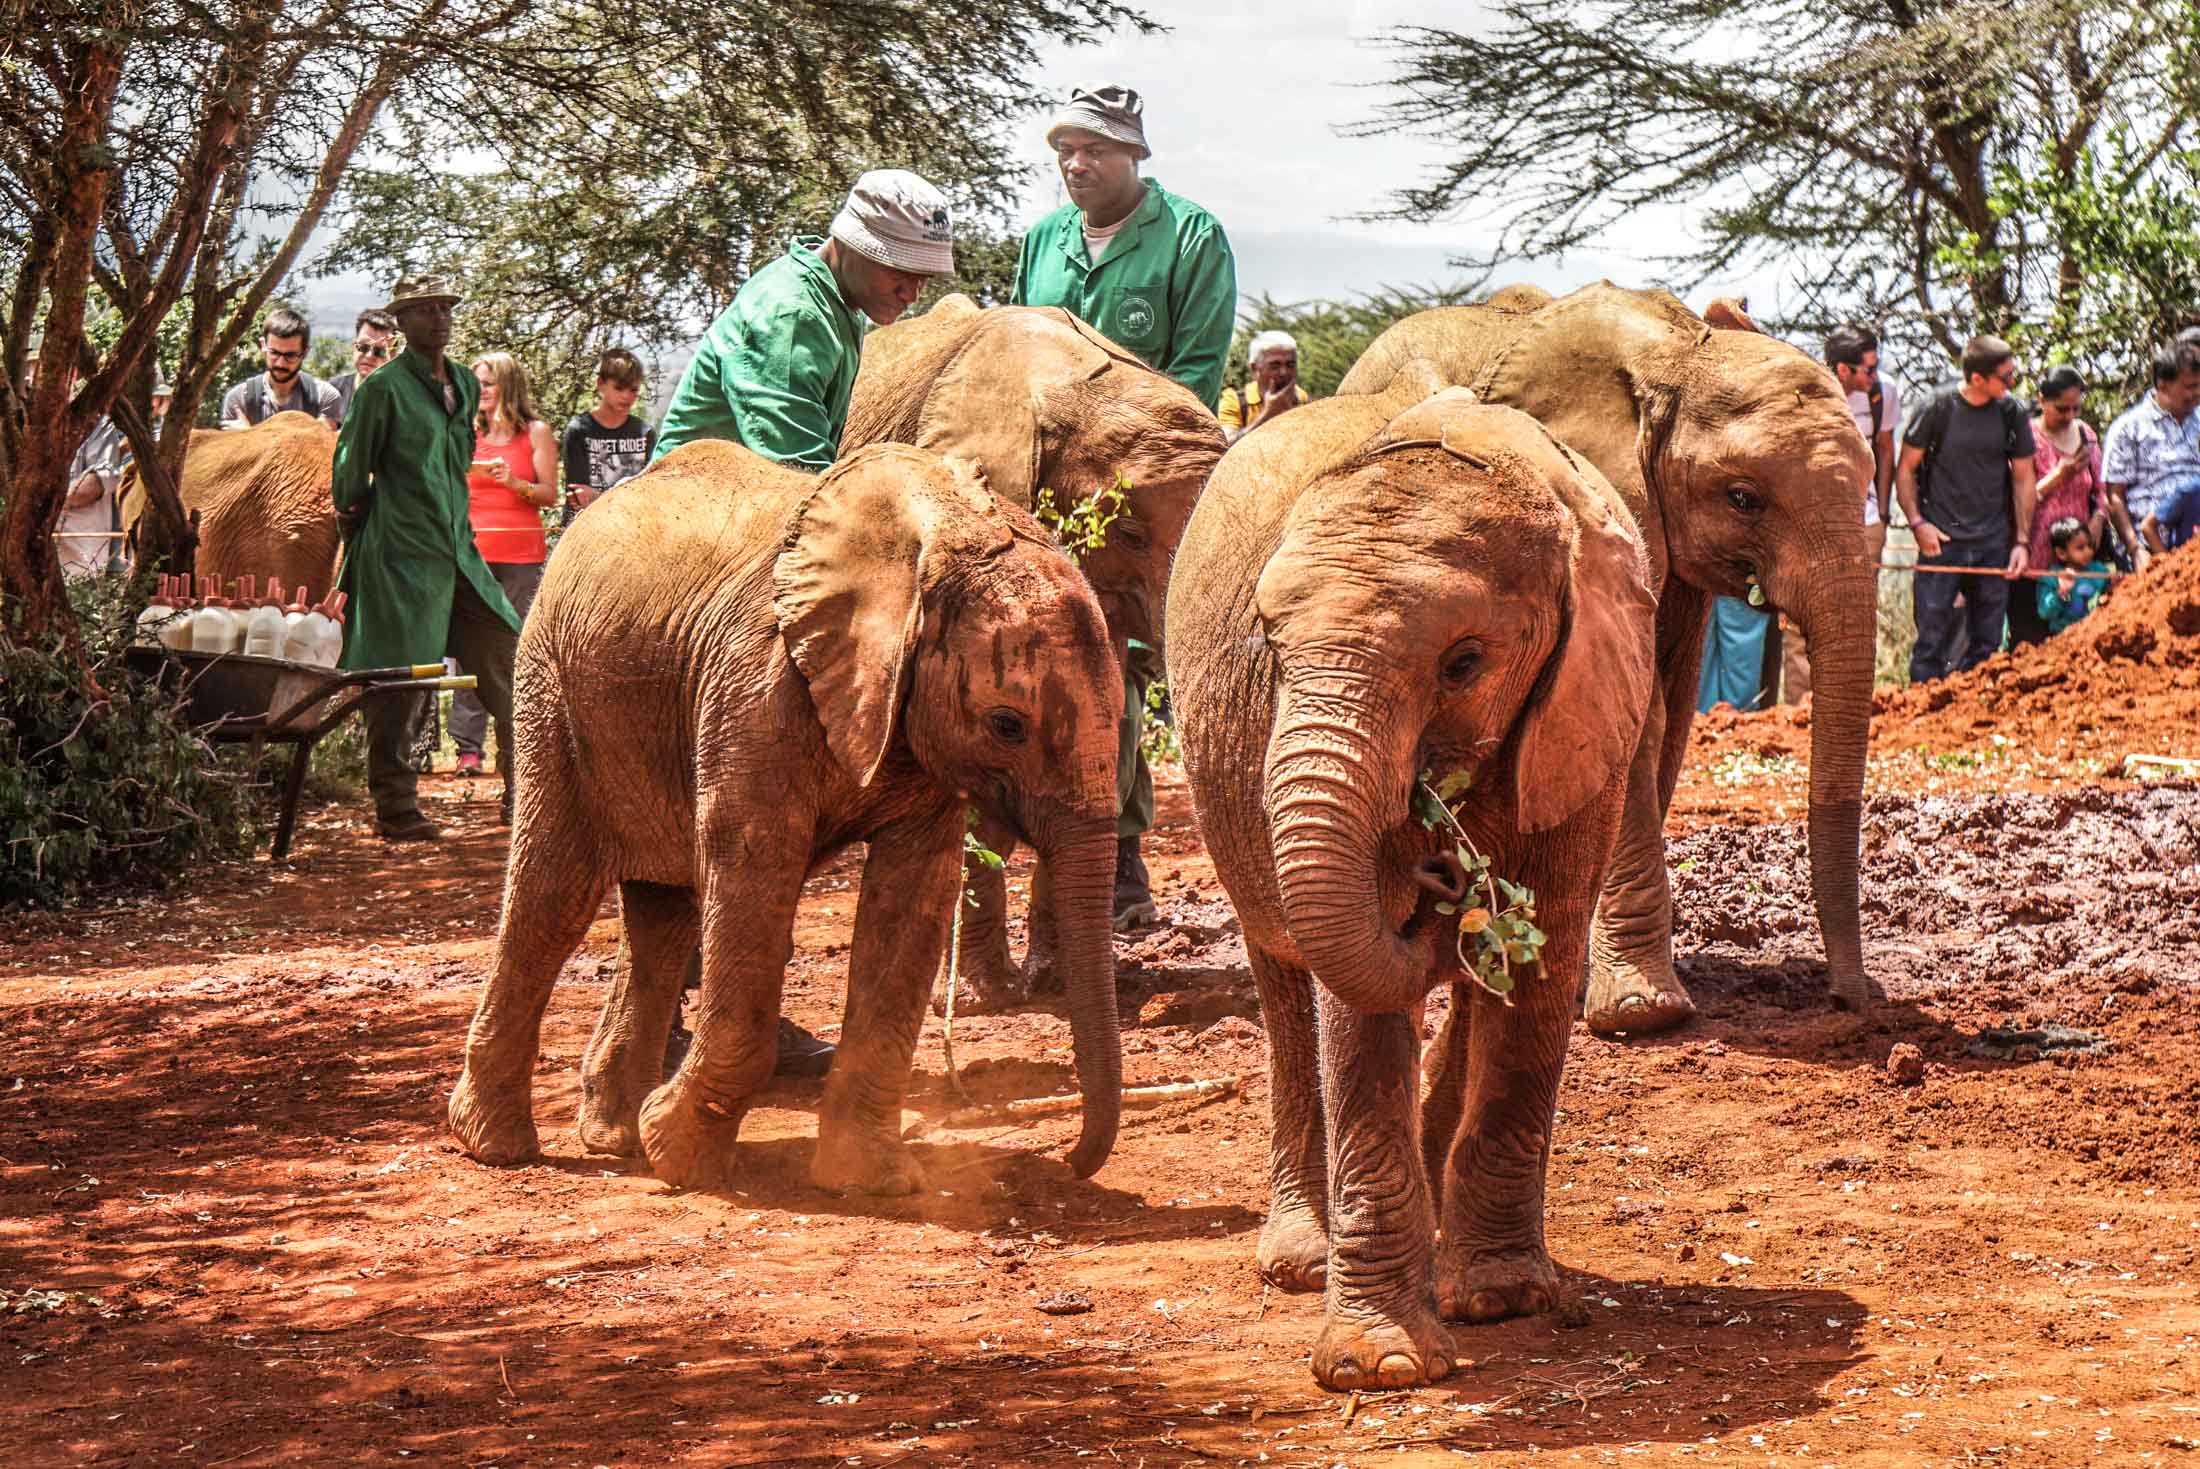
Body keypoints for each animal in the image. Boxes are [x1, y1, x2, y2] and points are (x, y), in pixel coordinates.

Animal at [445, 439, 1128, 1194]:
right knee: (553, 896)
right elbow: (753, 869)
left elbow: (912, 894)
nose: (1071, 1163)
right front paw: (682, 1158)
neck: (945, 535)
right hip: (553, 692)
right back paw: (497, 1144)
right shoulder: (757, 688)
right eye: (1007, 725)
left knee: (662, 914)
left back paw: (614, 1138)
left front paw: (871, 1178)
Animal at [1166, 388, 1658, 1389]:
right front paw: (1382, 1365)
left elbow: (1545, 955)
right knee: (1284, 984)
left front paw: (1501, 1301)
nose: (1442, 873)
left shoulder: (1589, 713)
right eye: (1268, 645)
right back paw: (1300, 1260)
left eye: (1463, 663)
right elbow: (1354, 1012)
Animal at [1336, 285, 1875, 1033]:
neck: (1679, 357)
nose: (1851, 1000)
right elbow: (1636, 717)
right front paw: (1644, 1014)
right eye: (1743, 498)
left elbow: (1665, 708)